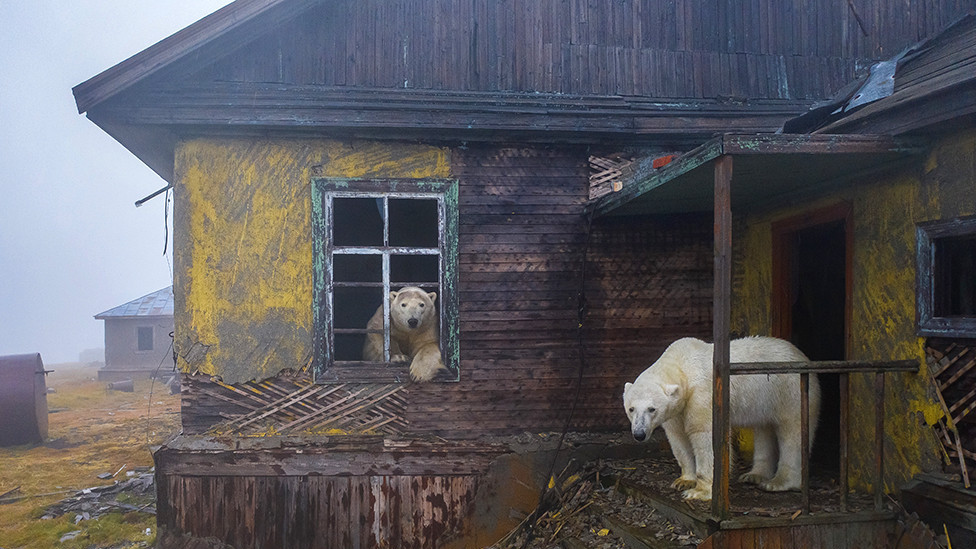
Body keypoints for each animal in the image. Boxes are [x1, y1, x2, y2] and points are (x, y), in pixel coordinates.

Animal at [622, 336, 820, 501]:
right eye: (631, 409)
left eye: (652, 409)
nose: (639, 434)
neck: (682, 365)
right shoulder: (677, 410)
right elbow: (678, 438)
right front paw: (684, 481)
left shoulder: (702, 395)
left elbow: (705, 436)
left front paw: (699, 492)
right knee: (764, 429)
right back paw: (754, 475)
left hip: (789, 391)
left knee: (792, 432)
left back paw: (778, 482)